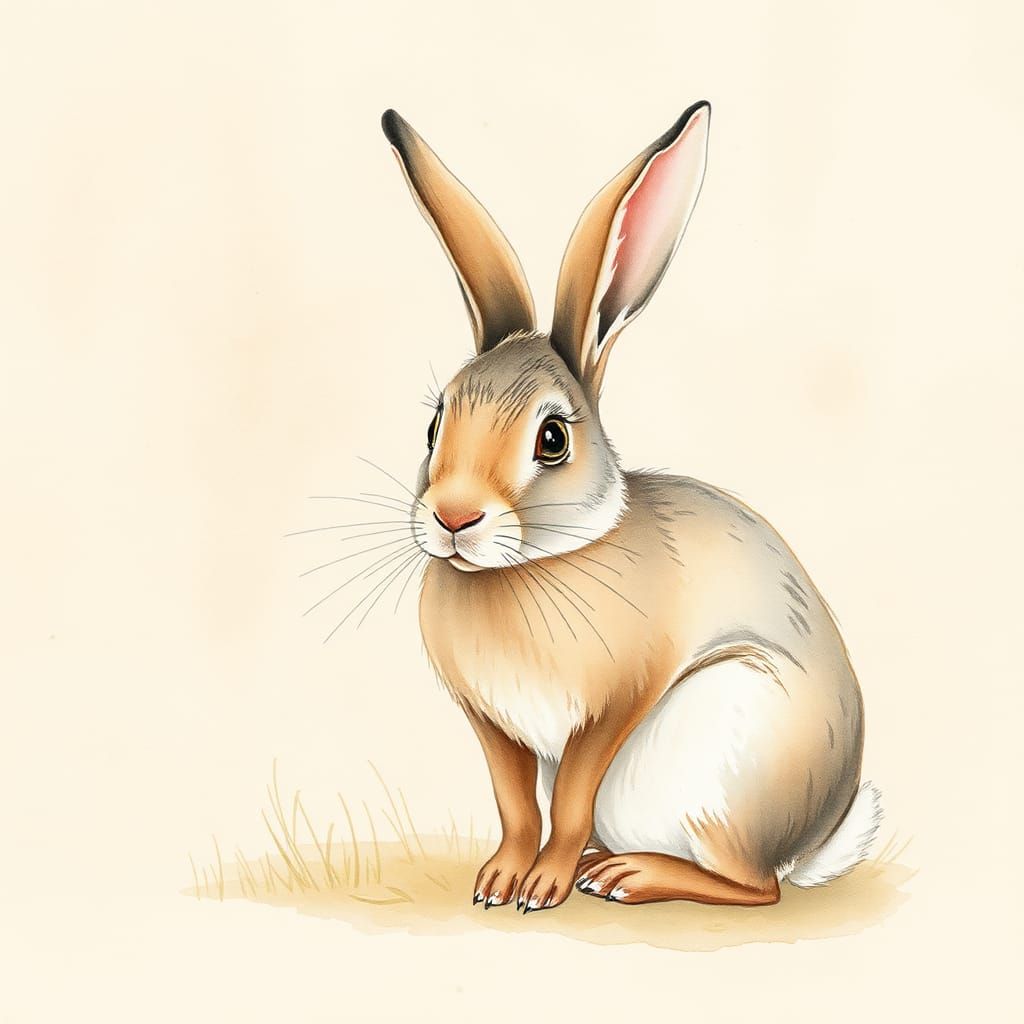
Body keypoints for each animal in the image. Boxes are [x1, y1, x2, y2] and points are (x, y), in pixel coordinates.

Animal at [381, 101, 881, 913]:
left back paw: (626, 875)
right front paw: (498, 881)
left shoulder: (613, 706)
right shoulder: (493, 726)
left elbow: (569, 799)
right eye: (434, 425)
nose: (454, 518)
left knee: (752, 889)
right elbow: (517, 808)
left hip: (724, 750)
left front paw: (543, 886)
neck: (530, 564)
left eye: (553, 439)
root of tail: (810, 841)